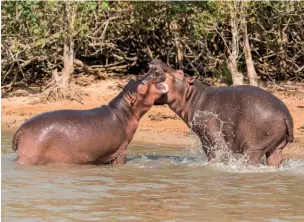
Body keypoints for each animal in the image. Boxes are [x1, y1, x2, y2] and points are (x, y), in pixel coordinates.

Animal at [11, 64, 169, 165]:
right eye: (141, 87)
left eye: (133, 80)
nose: (153, 69)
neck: (124, 112)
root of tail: (21, 129)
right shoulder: (121, 151)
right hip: (30, 157)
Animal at [151, 59, 294, 168]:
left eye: (180, 72)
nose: (156, 61)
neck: (193, 97)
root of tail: (285, 116)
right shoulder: (205, 141)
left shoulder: (212, 133)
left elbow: (218, 151)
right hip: (276, 147)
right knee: (274, 159)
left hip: (254, 148)